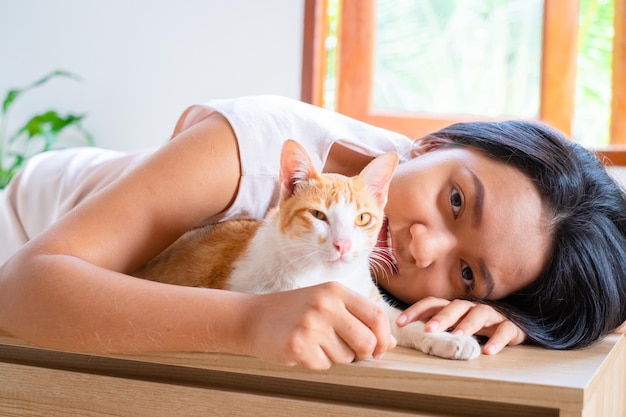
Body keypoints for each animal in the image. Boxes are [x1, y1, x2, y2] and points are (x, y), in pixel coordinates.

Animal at [134, 138, 480, 360]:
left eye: (362, 218)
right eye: (318, 215)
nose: (342, 244)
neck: (324, 274)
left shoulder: (371, 301)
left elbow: (402, 320)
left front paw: (446, 337)